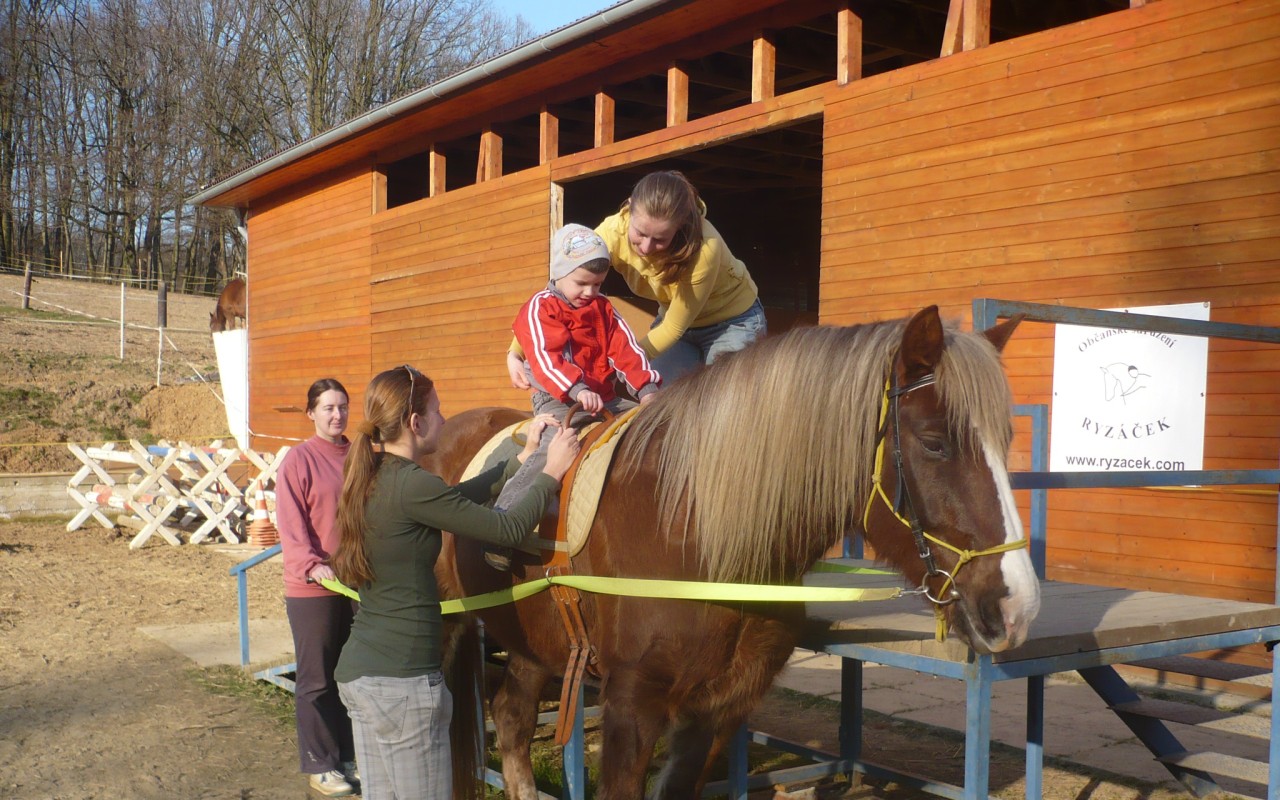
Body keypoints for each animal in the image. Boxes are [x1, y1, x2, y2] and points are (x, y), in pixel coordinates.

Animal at [430, 304, 1039, 798]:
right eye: (935, 443)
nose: (1016, 607)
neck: (693, 530)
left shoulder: (718, 709)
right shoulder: (632, 705)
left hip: (533, 644)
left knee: (511, 718)